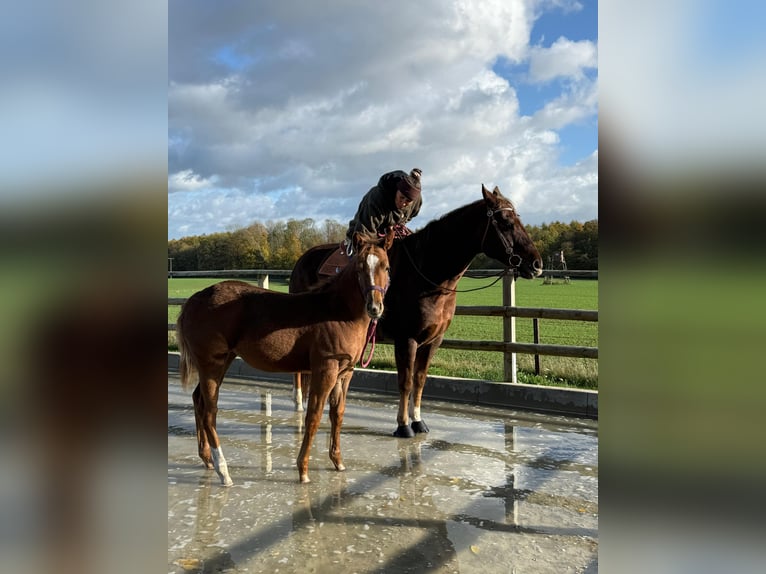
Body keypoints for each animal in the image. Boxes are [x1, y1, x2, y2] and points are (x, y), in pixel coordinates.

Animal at [176, 230, 394, 484]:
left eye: (386, 267)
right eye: (360, 267)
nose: (375, 308)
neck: (338, 312)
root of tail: (193, 301)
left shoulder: (345, 373)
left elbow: (337, 414)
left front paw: (338, 462)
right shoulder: (325, 370)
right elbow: (313, 416)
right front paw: (303, 470)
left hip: (220, 363)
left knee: (198, 401)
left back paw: (207, 459)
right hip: (212, 364)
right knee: (210, 412)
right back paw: (224, 471)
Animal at [290, 184, 543, 437]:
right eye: (505, 221)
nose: (536, 264)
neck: (426, 273)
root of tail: (302, 260)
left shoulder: (433, 340)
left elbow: (420, 380)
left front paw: (418, 421)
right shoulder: (406, 340)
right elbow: (406, 382)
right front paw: (403, 425)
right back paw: (299, 402)